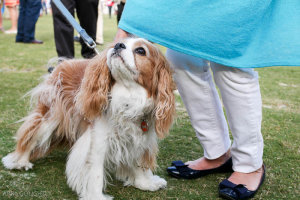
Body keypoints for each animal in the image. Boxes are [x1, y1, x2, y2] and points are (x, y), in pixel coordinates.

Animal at [2, 38, 175, 200]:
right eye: (120, 43)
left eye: (140, 51)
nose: (118, 45)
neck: (129, 97)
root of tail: (64, 62)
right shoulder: (98, 140)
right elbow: (95, 172)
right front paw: (96, 196)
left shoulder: (140, 137)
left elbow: (138, 162)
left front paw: (144, 183)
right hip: (50, 117)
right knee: (30, 135)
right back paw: (20, 161)